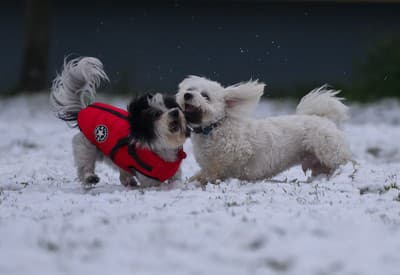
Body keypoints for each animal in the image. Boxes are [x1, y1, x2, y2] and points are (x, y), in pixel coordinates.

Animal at [50, 57, 188, 189]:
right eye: (157, 114)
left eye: (172, 107)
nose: (175, 112)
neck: (162, 148)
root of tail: (83, 110)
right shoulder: (149, 180)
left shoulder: (175, 174)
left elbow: (175, 180)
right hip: (86, 146)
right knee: (84, 165)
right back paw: (90, 178)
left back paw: (129, 181)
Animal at [177, 76, 352, 185]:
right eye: (190, 89)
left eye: (205, 96)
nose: (187, 95)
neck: (214, 127)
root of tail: (325, 119)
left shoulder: (239, 152)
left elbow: (216, 170)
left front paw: (199, 180)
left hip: (329, 152)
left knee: (347, 163)